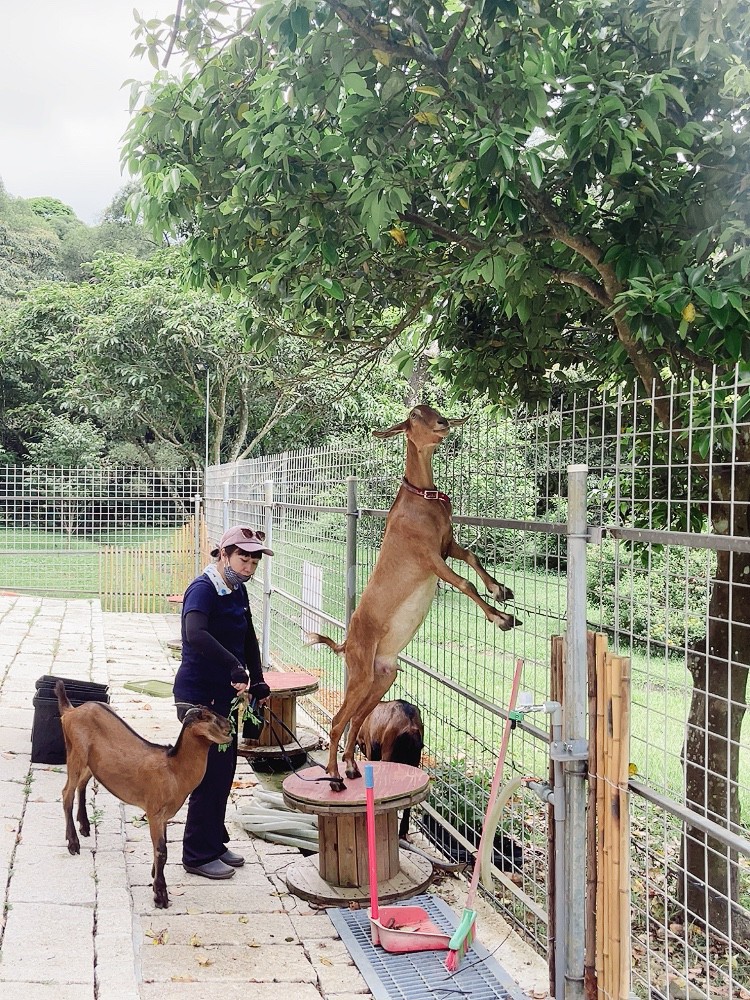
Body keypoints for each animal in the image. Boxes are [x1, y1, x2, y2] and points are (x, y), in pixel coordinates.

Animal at [55, 684, 231, 912]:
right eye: (206, 717)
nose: (229, 727)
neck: (174, 770)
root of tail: (70, 712)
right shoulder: (154, 812)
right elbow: (161, 851)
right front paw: (160, 895)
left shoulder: (164, 817)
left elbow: (161, 850)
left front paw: (154, 875)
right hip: (75, 753)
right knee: (66, 792)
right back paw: (73, 843)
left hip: (90, 763)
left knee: (81, 786)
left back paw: (84, 827)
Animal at [306, 404, 524, 788]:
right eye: (414, 416)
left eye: (434, 409)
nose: (444, 423)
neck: (420, 500)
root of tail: (346, 643)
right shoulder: (428, 557)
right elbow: (464, 584)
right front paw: (501, 618)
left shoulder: (447, 544)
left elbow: (472, 557)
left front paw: (500, 590)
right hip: (360, 673)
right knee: (338, 720)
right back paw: (333, 775)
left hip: (383, 676)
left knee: (358, 719)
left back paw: (351, 767)